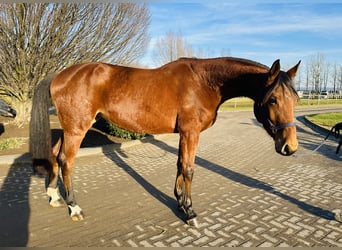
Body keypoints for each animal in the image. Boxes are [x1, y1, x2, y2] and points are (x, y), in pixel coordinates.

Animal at [30, 57, 302, 226]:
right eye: (273, 99)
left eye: (296, 99)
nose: (290, 147)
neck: (204, 82)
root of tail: (61, 75)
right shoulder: (191, 132)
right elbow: (189, 169)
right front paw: (190, 212)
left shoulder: (184, 134)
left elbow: (180, 165)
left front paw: (180, 203)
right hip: (77, 128)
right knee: (67, 161)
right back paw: (74, 208)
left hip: (70, 128)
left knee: (55, 155)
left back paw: (54, 196)